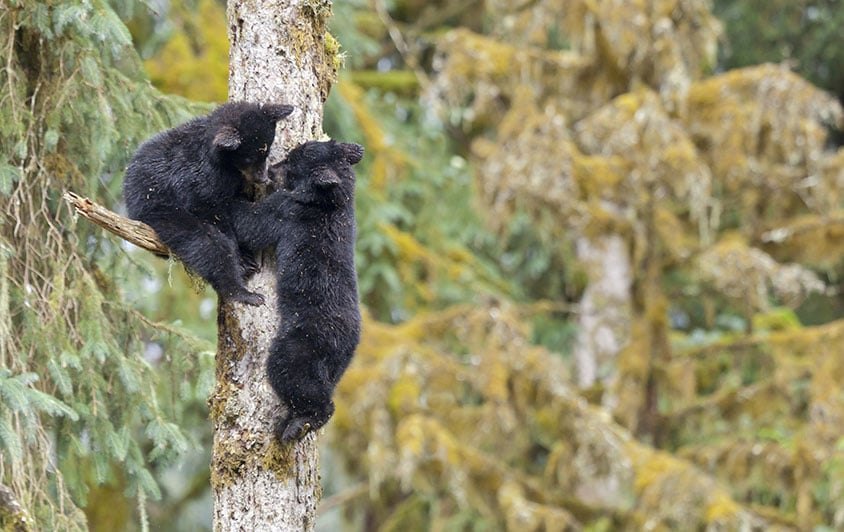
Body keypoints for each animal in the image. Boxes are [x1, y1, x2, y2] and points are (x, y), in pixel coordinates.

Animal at [122, 101, 293, 306]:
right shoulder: (197, 180)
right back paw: (243, 292)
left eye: (265, 151)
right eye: (249, 158)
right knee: (207, 245)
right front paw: (243, 260)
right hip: (159, 211)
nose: (262, 178)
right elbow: (210, 211)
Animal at [235, 140, 364, 442]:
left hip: (302, 342)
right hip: (337, 363)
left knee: (291, 375)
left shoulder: (288, 210)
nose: (271, 169)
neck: (332, 200)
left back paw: (299, 423)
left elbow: (251, 223)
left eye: (291, 165)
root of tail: (348, 340)